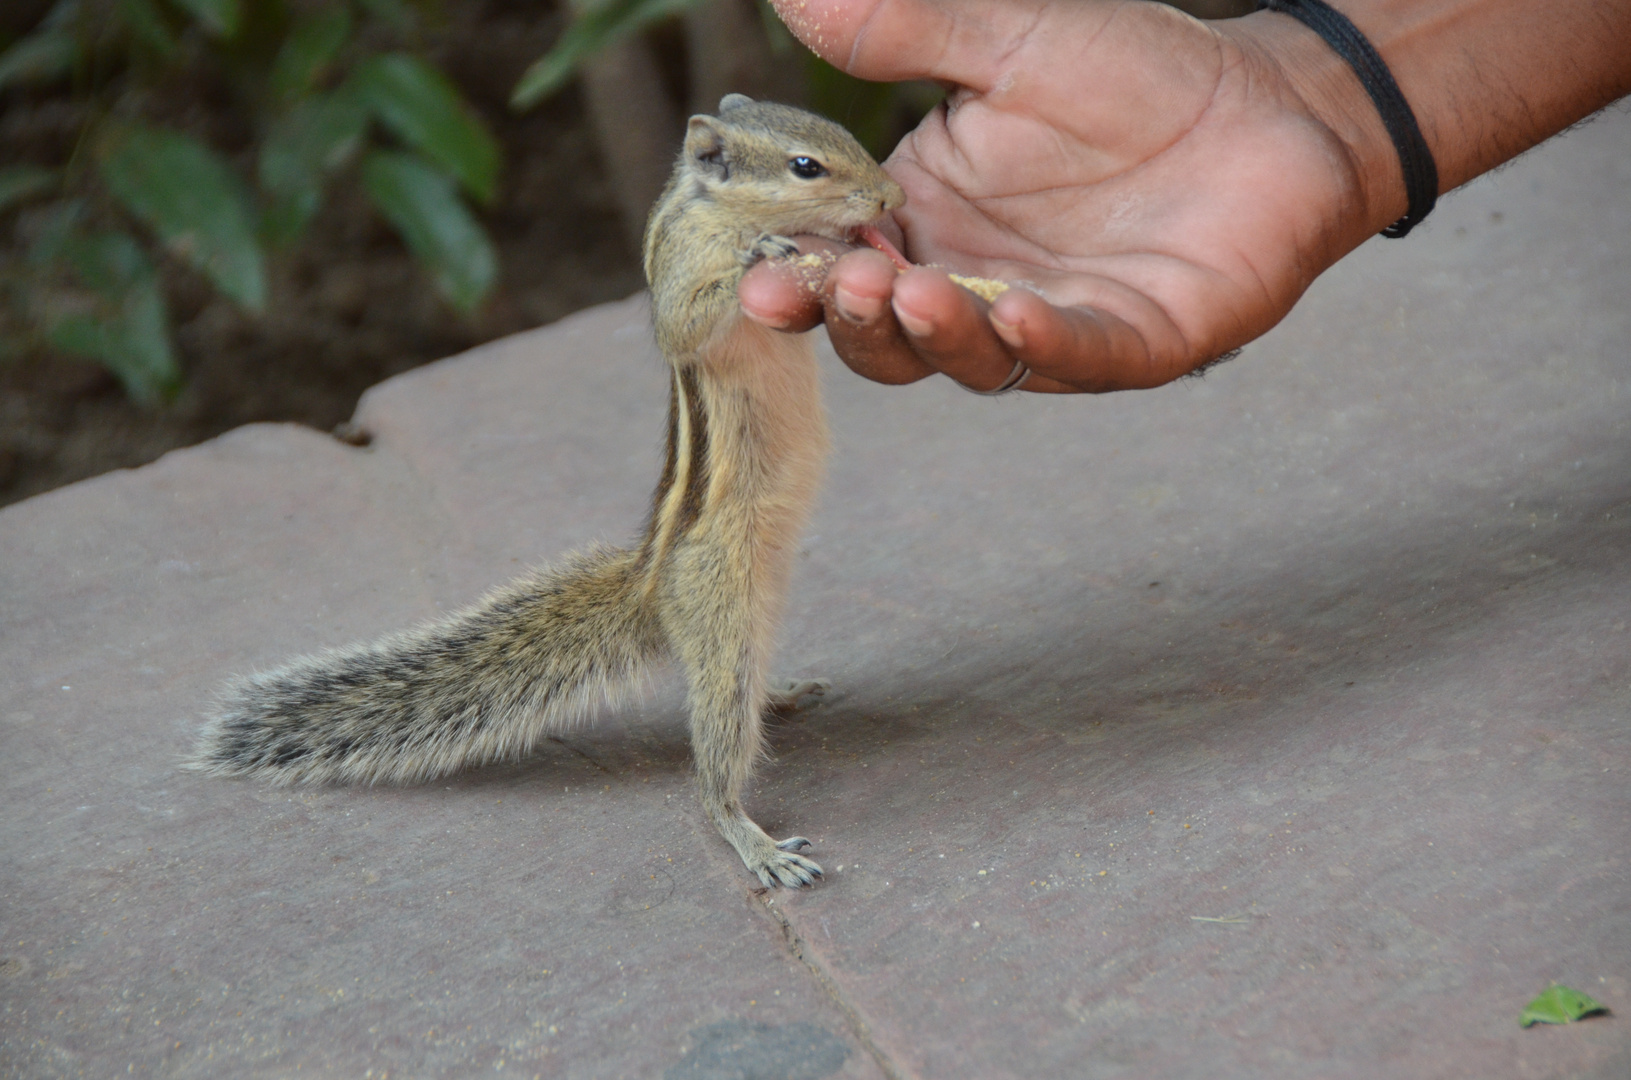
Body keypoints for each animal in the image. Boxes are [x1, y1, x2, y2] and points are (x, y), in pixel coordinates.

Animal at [194, 95, 906, 887]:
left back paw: (782, 696)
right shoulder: (684, 261)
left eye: (839, 133)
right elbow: (686, 322)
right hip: (719, 602)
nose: (890, 197)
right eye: (805, 165)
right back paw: (753, 841)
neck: (709, 205)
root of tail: (649, 584)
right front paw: (764, 251)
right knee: (713, 758)